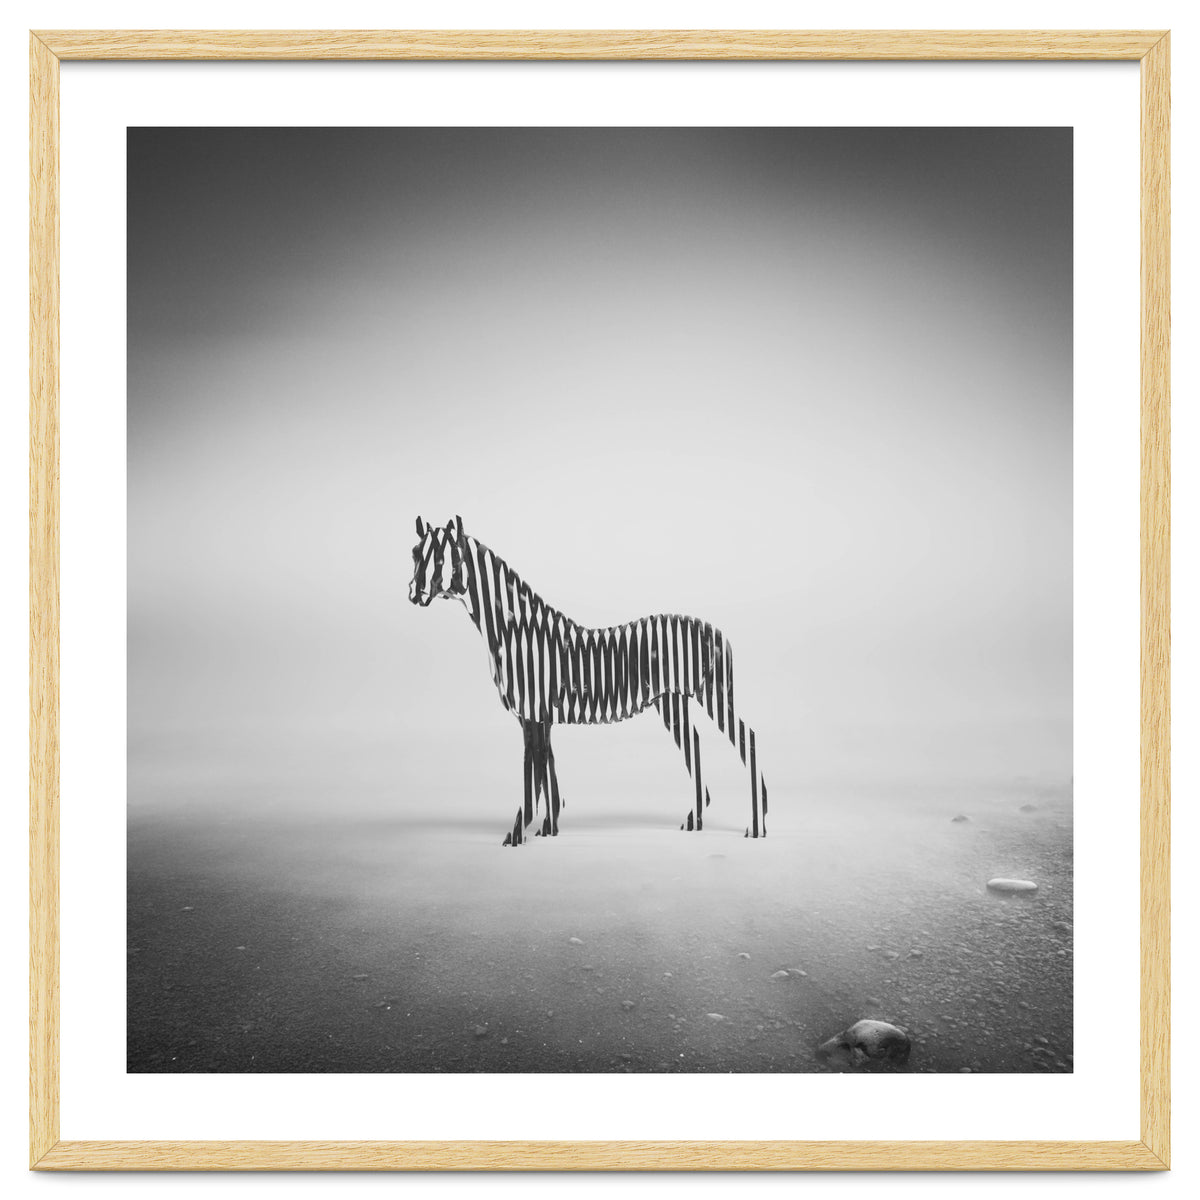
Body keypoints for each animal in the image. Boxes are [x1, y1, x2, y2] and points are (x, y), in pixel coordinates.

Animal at [408, 515, 768, 846]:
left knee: (747, 738)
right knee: (694, 743)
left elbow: (533, 775)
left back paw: (756, 825)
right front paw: (548, 828)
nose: (414, 593)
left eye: (443, 559)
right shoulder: (540, 715)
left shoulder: (532, 712)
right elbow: (547, 771)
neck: (518, 632)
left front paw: (518, 833)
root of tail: (717, 631)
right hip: (672, 701)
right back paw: (695, 820)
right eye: (414, 553)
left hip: (712, 694)